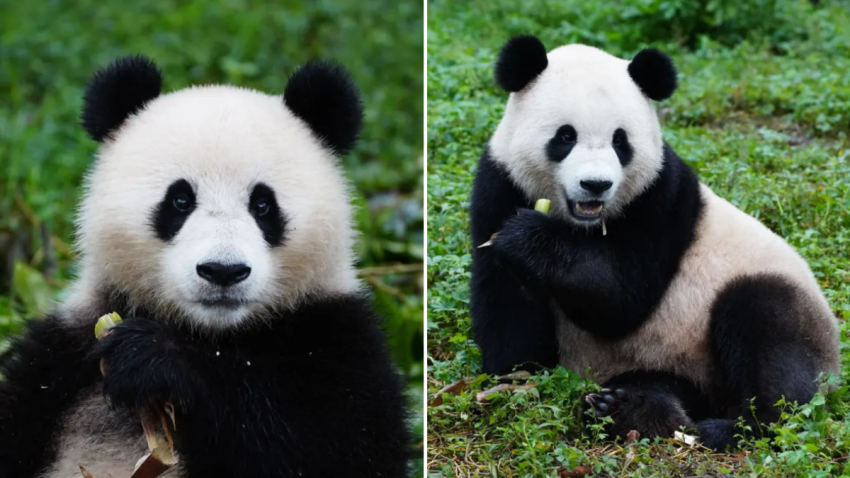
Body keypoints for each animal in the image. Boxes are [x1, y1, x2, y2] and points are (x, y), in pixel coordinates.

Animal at [0, 55, 410, 478]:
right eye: (180, 201)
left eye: (263, 205)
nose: (223, 271)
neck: (213, 336)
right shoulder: (62, 353)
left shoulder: (336, 337)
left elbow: (333, 448)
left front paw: (152, 359)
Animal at [470, 35, 840, 450]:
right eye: (565, 136)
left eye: (620, 141)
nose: (596, 185)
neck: (582, 225)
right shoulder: (499, 184)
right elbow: (508, 305)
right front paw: (514, 374)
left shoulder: (661, 197)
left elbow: (623, 300)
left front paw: (528, 239)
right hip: (664, 363)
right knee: (662, 385)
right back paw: (626, 409)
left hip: (769, 306)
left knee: (771, 334)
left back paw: (734, 428)